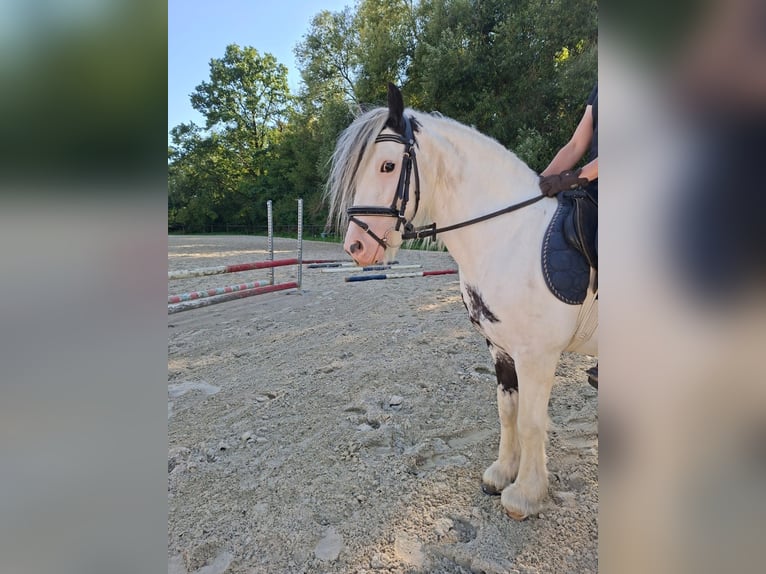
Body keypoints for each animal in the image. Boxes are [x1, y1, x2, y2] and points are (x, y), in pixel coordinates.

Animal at [325, 83, 598, 520]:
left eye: (387, 166)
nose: (356, 247)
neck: (509, 235)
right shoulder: (500, 348)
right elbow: (508, 411)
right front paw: (502, 473)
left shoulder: (537, 353)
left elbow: (531, 421)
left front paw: (526, 494)